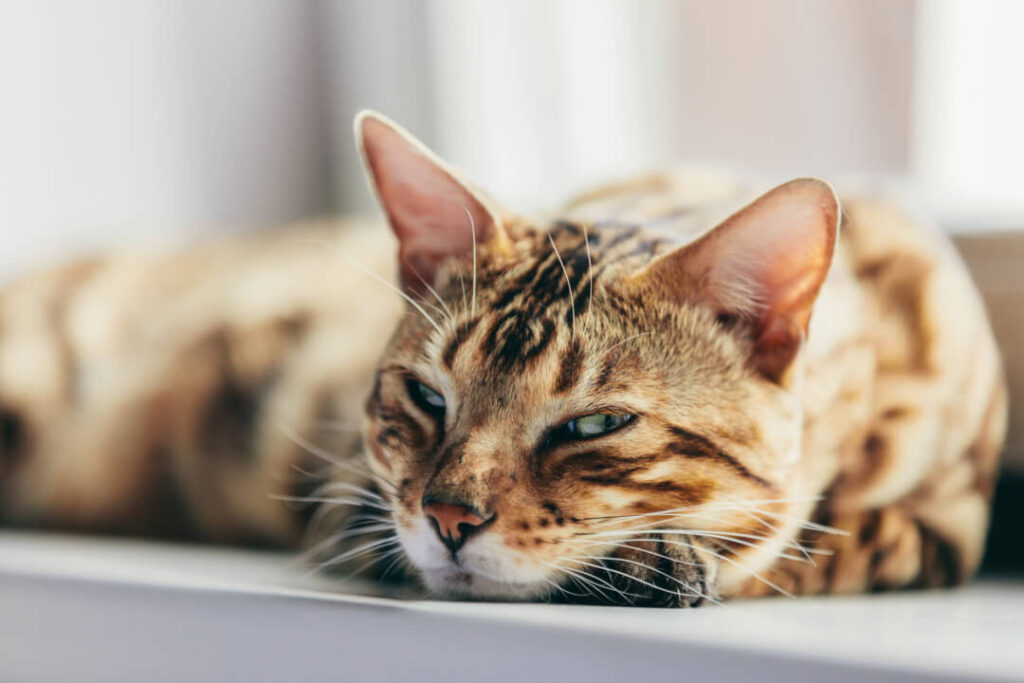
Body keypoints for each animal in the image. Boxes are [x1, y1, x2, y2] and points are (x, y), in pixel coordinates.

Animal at [0, 112, 1007, 610]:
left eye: (596, 422)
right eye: (424, 394)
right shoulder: (346, 495)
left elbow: (827, 537)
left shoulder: (944, 522)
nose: (449, 519)